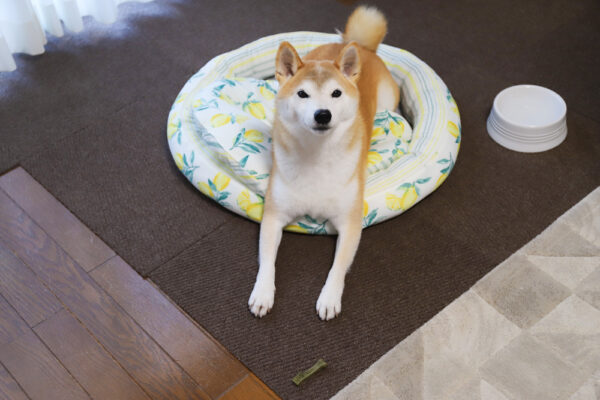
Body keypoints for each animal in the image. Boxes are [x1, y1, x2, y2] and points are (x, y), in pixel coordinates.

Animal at [248, 5, 398, 318]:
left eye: (336, 93)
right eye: (302, 93)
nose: (322, 114)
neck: (316, 154)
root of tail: (358, 46)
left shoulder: (350, 222)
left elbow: (338, 268)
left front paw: (329, 298)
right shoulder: (274, 216)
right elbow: (267, 261)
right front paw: (263, 293)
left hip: (389, 102)